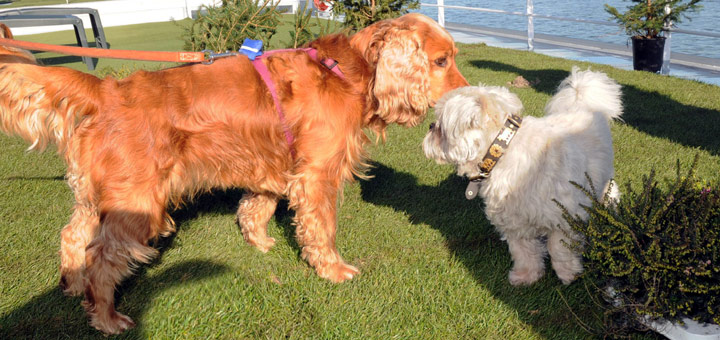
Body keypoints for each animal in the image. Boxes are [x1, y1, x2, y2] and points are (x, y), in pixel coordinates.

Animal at [0, 13, 466, 332]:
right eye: (441, 61)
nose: (464, 93)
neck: (348, 72)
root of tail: (107, 89)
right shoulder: (316, 174)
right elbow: (322, 229)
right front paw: (333, 270)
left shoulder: (273, 164)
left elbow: (256, 206)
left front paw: (259, 242)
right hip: (137, 201)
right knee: (100, 256)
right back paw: (106, 316)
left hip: (97, 195)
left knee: (73, 236)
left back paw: (73, 285)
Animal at [424, 67, 620, 286]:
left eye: (440, 128)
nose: (430, 126)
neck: (504, 148)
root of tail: (581, 103)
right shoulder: (514, 220)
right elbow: (524, 252)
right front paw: (527, 276)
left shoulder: (563, 217)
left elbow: (559, 249)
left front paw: (569, 274)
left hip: (603, 178)